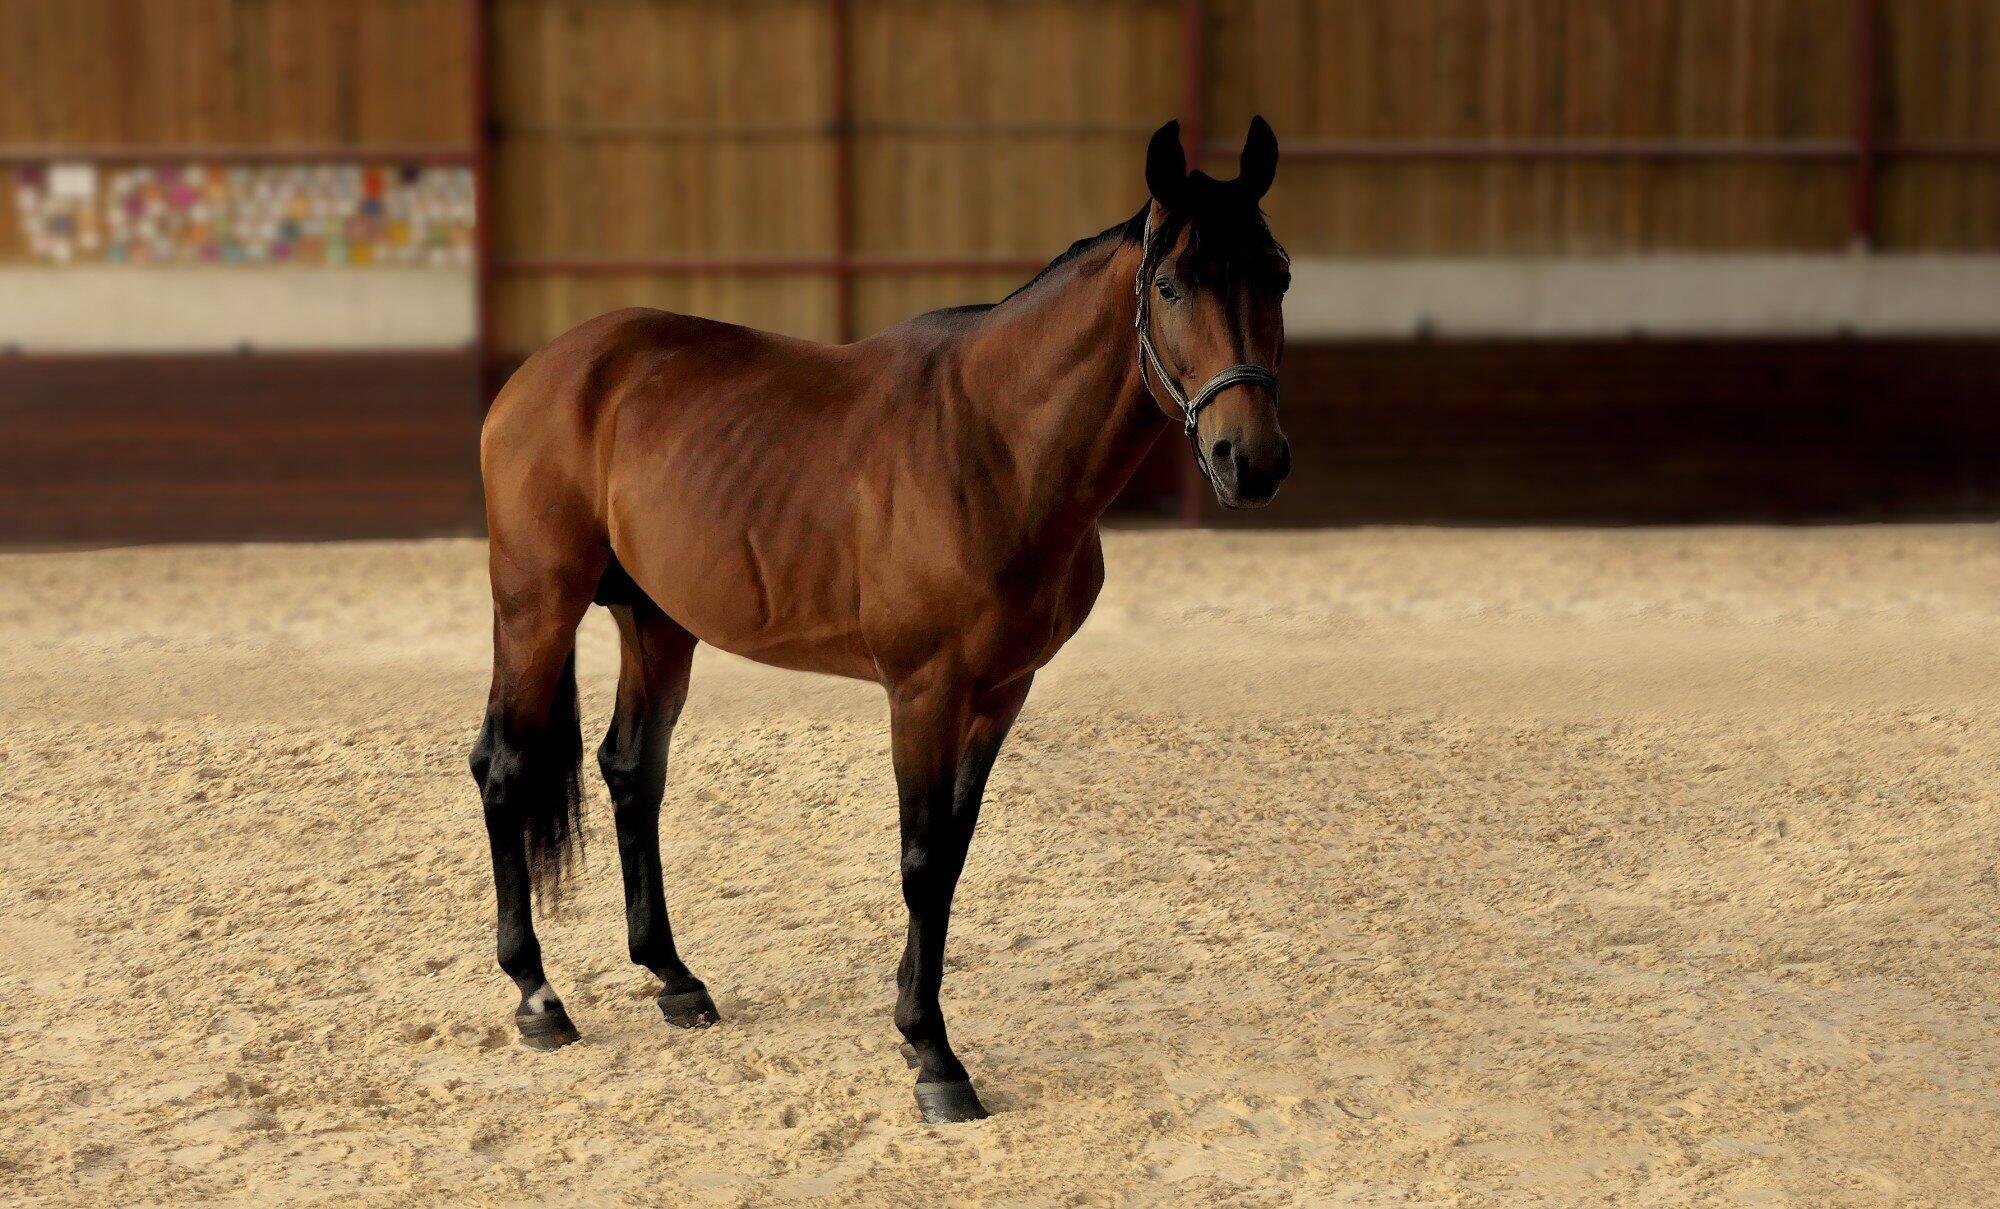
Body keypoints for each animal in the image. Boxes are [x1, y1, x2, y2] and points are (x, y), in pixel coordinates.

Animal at [470, 117, 1292, 1123]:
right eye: (1172, 284)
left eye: (1278, 274)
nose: (1249, 459)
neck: (993, 446)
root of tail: (547, 370)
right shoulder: (923, 691)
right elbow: (921, 858)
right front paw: (935, 1055)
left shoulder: (1001, 692)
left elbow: (954, 855)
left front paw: (912, 1022)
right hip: (535, 604)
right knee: (504, 767)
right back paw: (537, 996)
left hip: (657, 622)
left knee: (633, 771)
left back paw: (674, 977)